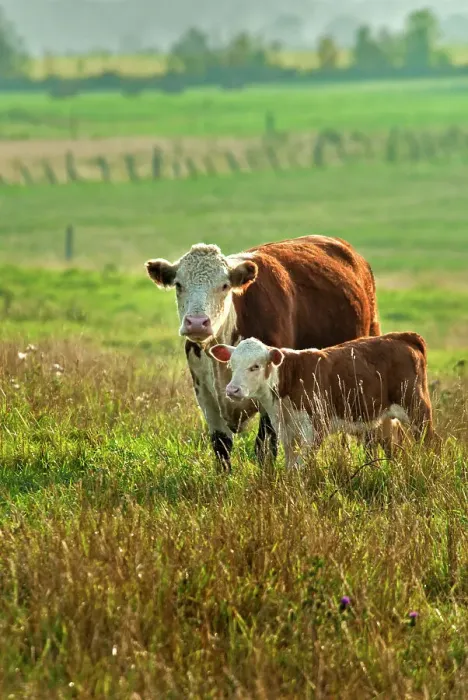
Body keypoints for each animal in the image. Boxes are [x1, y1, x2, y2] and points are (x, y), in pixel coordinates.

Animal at [146, 235, 380, 471]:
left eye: (224, 285)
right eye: (179, 284)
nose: (196, 323)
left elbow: (265, 447)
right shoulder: (205, 395)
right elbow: (221, 447)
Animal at [209, 332, 434, 468]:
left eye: (255, 366)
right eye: (231, 364)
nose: (232, 389)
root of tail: (402, 337)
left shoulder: (316, 427)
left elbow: (301, 465)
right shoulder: (286, 431)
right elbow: (291, 465)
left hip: (417, 409)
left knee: (431, 442)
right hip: (385, 417)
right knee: (393, 446)